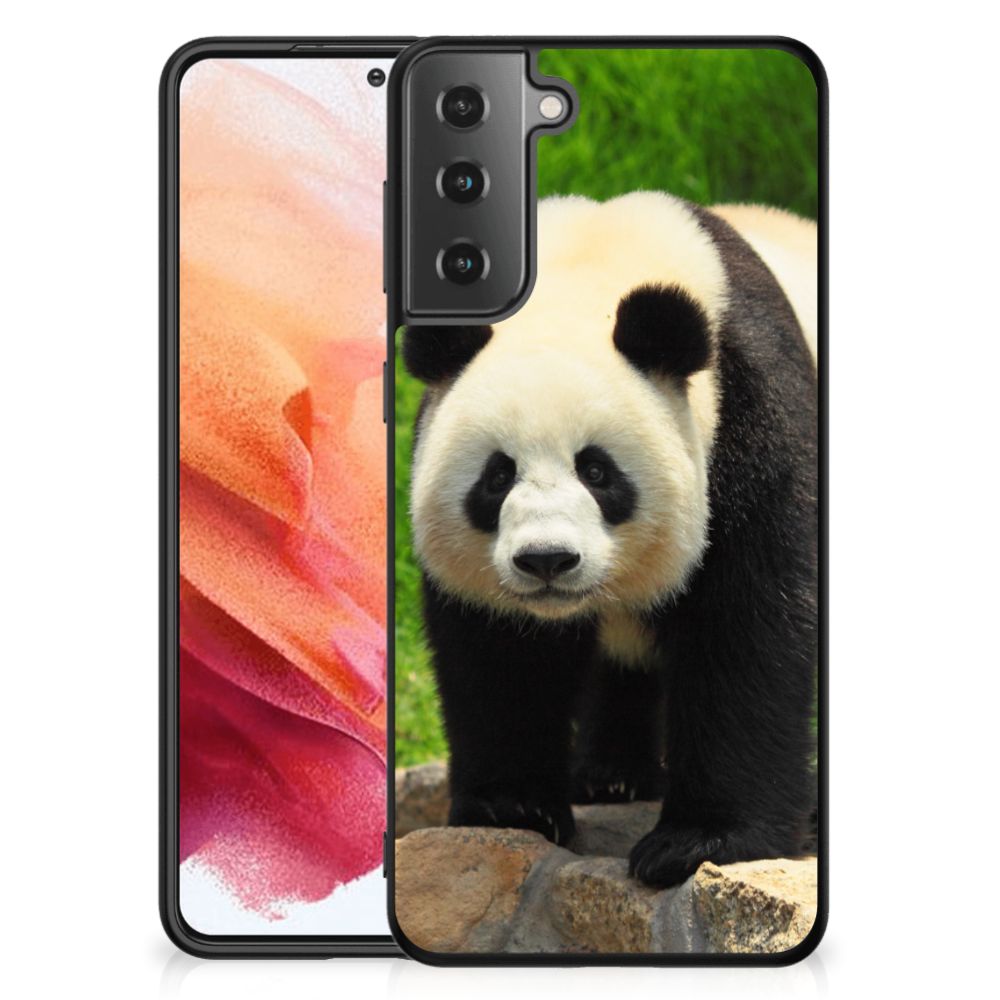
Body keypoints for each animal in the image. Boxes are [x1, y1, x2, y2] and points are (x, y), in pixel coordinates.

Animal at [401, 191, 818, 888]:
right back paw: (611, 777)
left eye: (596, 471)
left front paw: (698, 842)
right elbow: (499, 653)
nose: (547, 560)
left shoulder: (753, 414)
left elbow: (751, 626)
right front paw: (513, 807)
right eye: (497, 476)